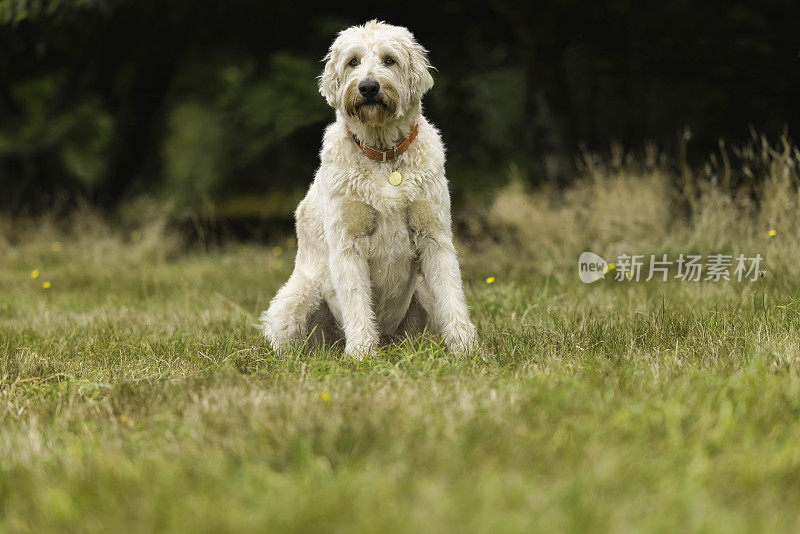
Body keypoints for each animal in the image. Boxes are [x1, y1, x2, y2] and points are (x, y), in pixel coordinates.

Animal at [260, 19, 476, 360]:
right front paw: (362, 352)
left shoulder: (434, 235)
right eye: (353, 62)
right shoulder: (348, 242)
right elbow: (356, 298)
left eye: (389, 60)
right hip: (294, 300)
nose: (368, 87)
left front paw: (464, 348)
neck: (383, 154)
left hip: (421, 296)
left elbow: (452, 294)